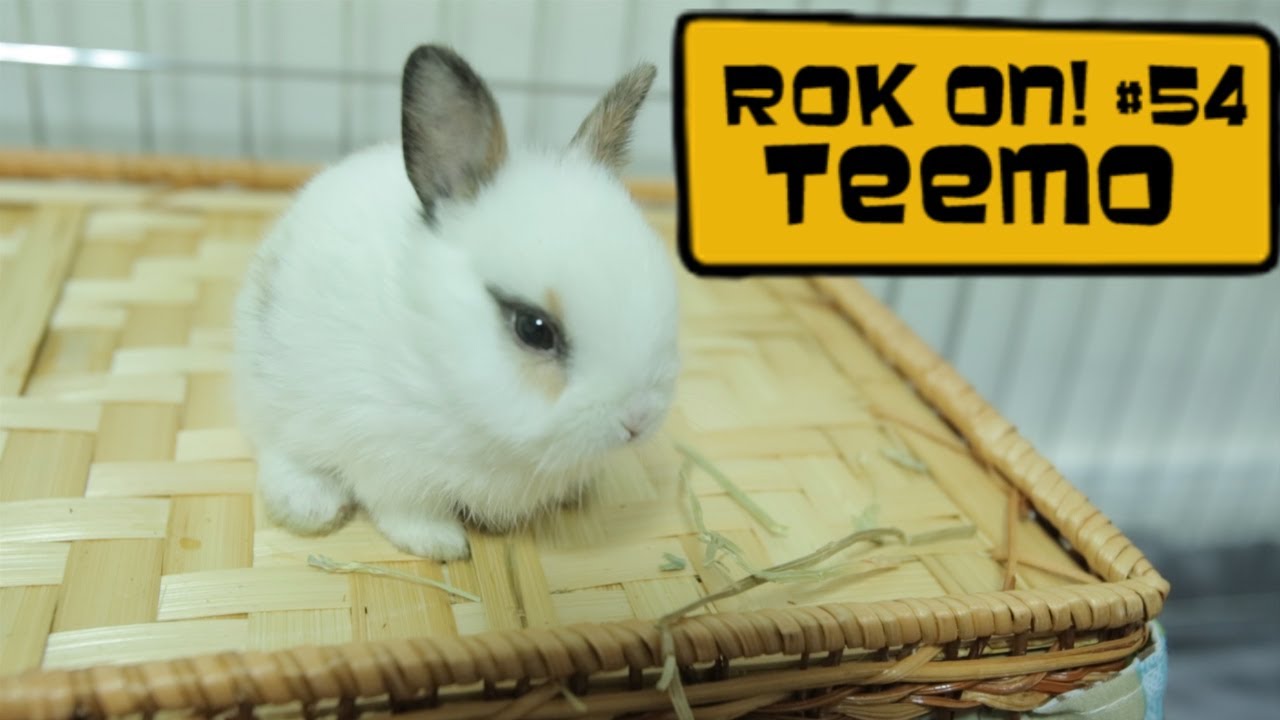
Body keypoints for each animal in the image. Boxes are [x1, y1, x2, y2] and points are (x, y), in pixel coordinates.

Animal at [232, 45, 680, 561]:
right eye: (534, 328)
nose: (637, 419)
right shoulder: (387, 455)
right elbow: (404, 510)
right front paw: (441, 544)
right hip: (270, 392)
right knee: (277, 447)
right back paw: (309, 506)